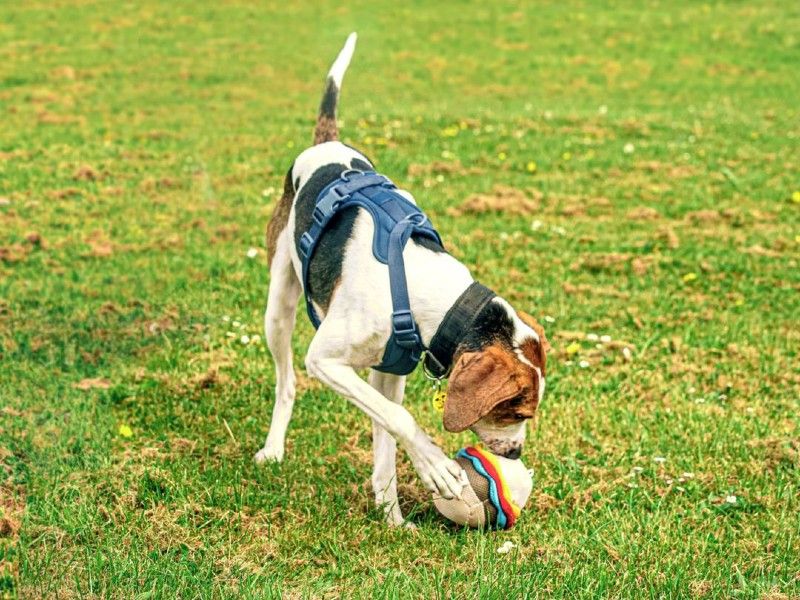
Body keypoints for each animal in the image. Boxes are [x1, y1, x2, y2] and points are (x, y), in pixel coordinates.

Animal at [258, 35, 552, 528]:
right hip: (278, 307)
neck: (419, 288)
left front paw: (392, 518)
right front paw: (437, 468)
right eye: (515, 408)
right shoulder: (326, 360)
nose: (516, 452)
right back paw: (273, 447)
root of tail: (326, 143)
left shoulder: (388, 373)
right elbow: (401, 419)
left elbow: (386, 437)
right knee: (287, 383)